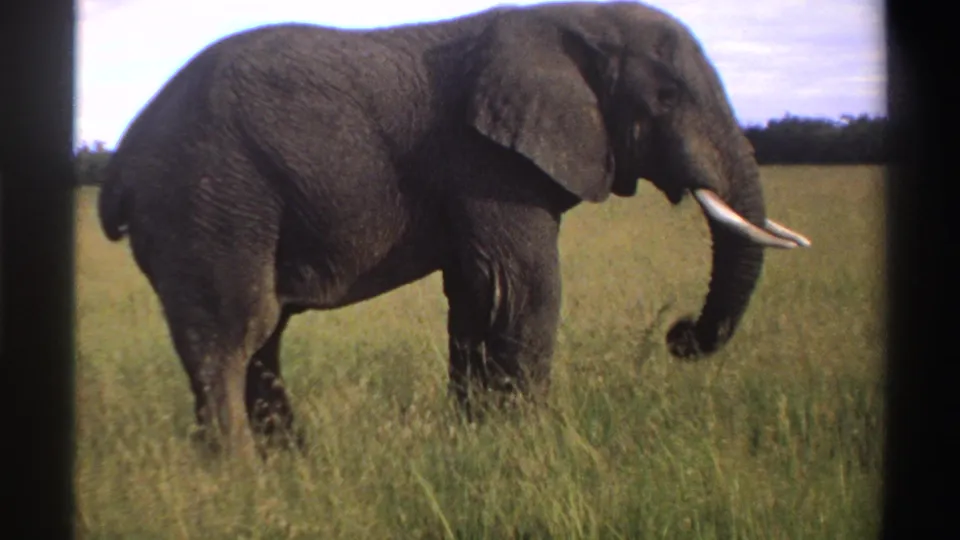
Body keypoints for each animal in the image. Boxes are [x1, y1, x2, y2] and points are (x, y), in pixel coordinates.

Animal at [96, 1, 811, 458]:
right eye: (665, 98)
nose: (678, 334)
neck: (573, 19)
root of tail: (122, 157)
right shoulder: (486, 159)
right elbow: (524, 289)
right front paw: (531, 447)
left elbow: (477, 295)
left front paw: (477, 439)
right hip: (208, 199)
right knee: (232, 333)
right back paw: (241, 478)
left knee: (260, 341)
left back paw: (290, 467)